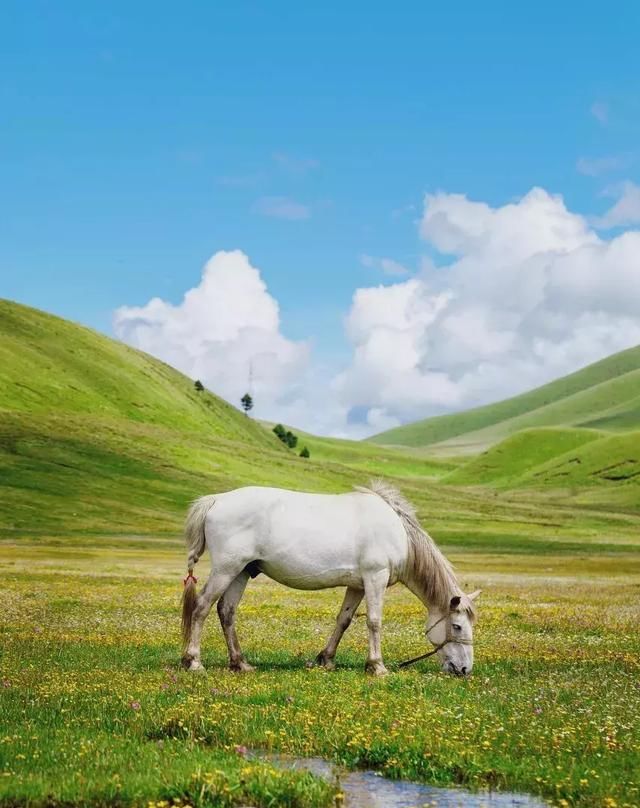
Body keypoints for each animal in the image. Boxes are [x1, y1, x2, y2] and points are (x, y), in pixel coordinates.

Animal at [181, 480, 480, 676]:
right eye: (457, 627)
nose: (465, 669)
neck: (399, 533)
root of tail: (217, 500)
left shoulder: (357, 586)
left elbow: (343, 620)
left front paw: (326, 659)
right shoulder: (375, 578)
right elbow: (374, 622)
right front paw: (377, 666)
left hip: (242, 571)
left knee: (226, 611)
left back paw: (239, 663)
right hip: (226, 569)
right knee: (202, 607)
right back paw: (194, 661)